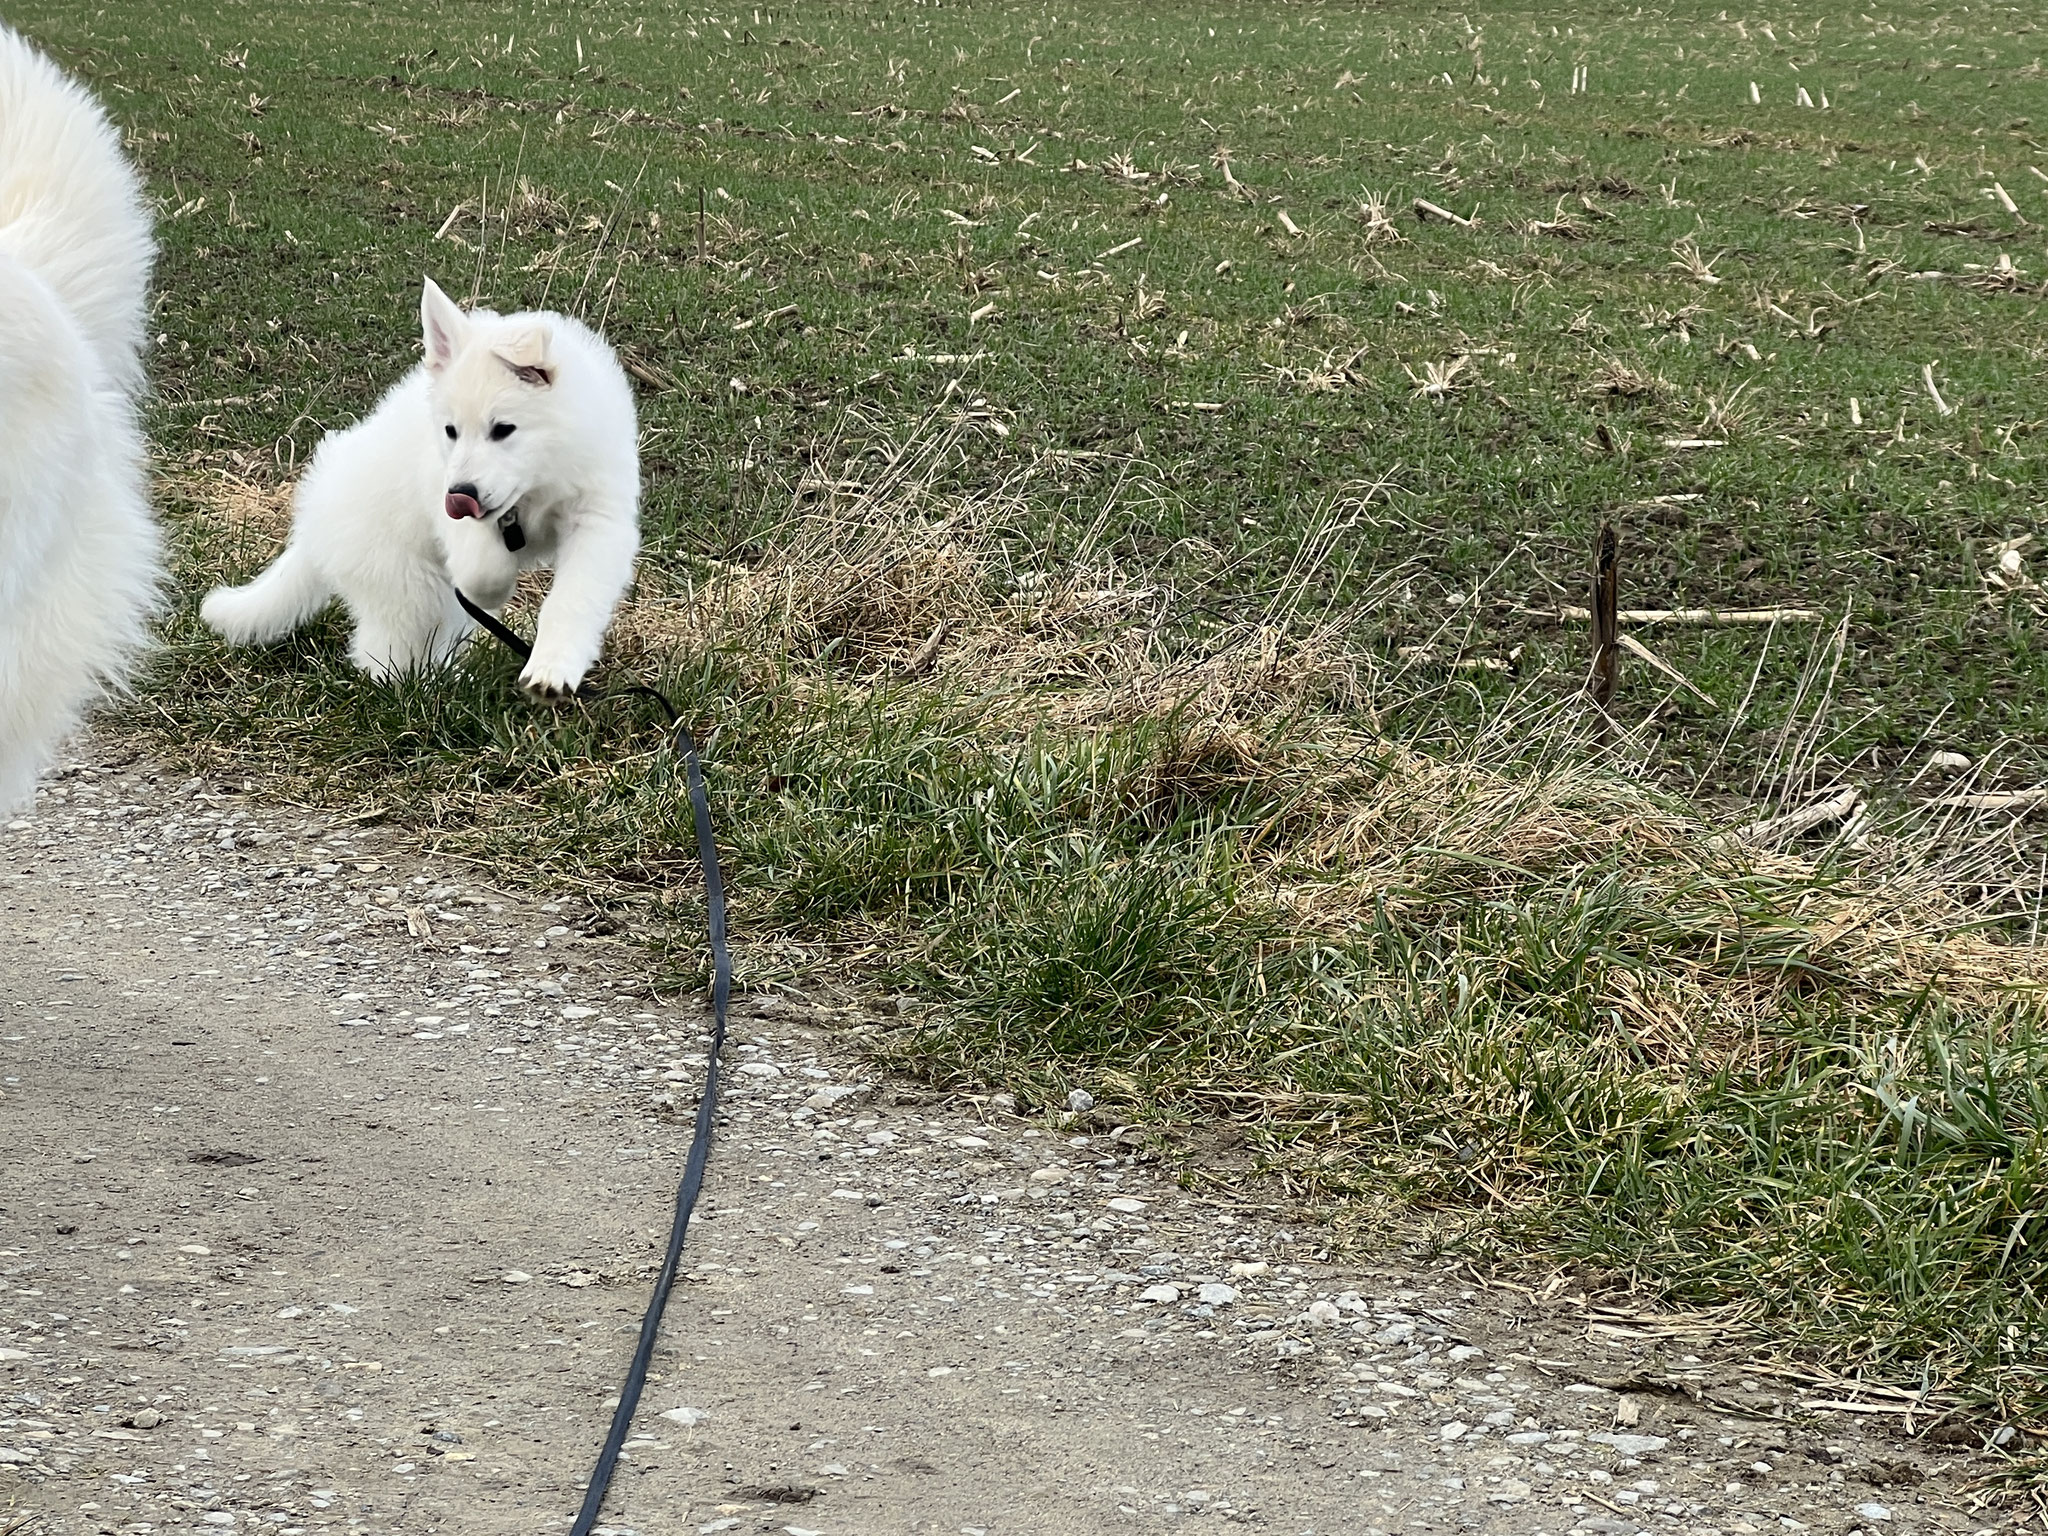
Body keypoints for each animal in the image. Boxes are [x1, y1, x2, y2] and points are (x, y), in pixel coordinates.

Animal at [204, 280, 638, 700]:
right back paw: (418, 689)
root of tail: (311, 525)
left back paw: (448, 679)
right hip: (407, 584)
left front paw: (552, 670)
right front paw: (494, 588)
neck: (536, 483)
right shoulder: (445, 495)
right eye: (450, 431)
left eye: (503, 429)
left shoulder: (598, 520)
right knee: (383, 651)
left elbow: (574, 599)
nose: (463, 493)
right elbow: (481, 567)